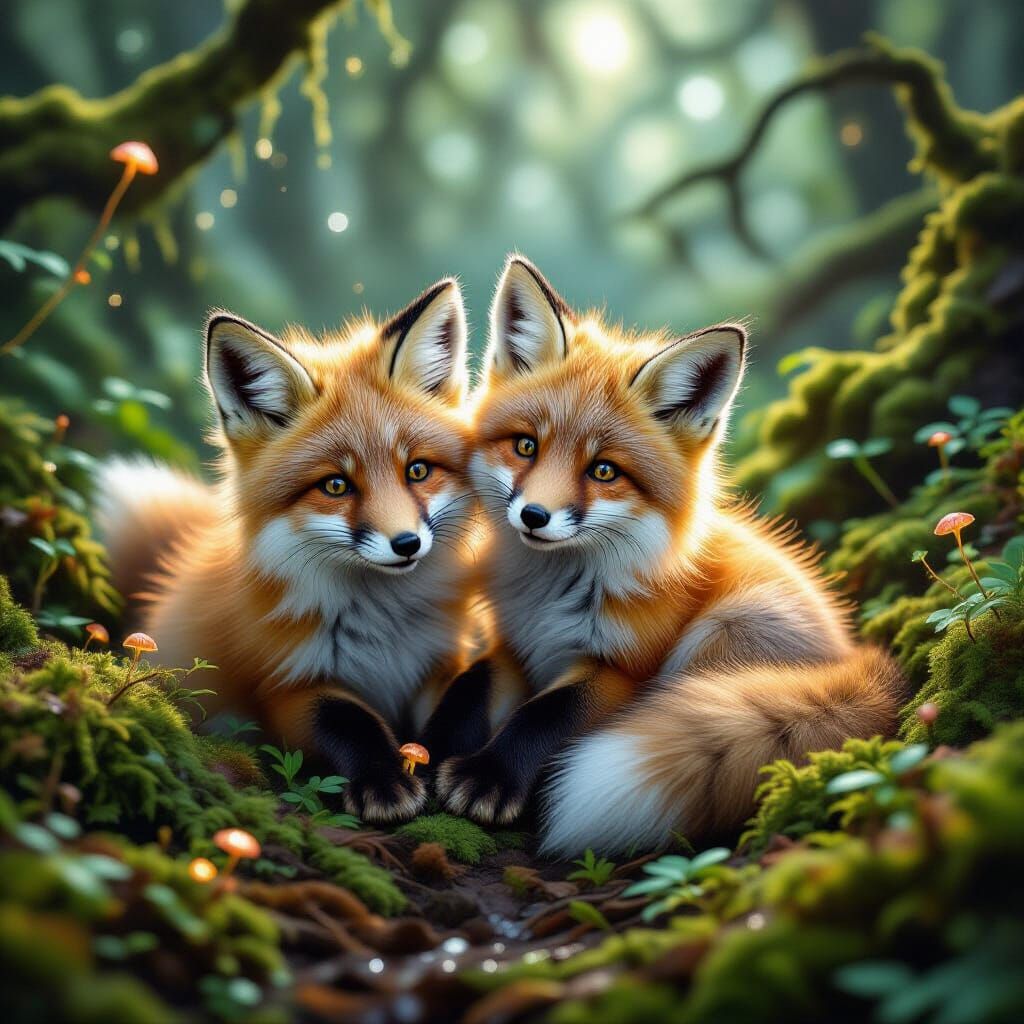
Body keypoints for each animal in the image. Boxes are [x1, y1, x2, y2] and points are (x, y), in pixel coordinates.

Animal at [98, 279, 489, 823]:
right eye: (335, 485)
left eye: (417, 470)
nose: (407, 544)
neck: (385, 630)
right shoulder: (286, 683)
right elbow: (346, 719)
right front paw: (384, 780)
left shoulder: (439, 660)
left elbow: (461, 702)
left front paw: (451, 765)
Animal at [433, 255, 906, 856]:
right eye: (526, 446)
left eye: (604, 471)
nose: (534, 516)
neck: (547, 598)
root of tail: (859, 660)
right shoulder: (513, 642)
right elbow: (469, 685)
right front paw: (425, 751)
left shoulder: (622, 668)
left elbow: (547, 713)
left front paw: (489, 779)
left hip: (720, 634)